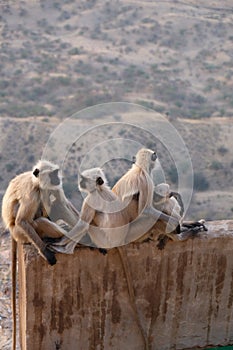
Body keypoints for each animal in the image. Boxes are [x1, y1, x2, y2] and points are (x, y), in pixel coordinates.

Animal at [0, 159, 79, 350]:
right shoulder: (32, 191)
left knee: (55, 203)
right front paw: (45, 253)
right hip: (21, 232)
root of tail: (11, 232)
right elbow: (23, 220)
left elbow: (62, 201)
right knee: (36, 220)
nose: (57, 178)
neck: (36, 182)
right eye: (52, 173)